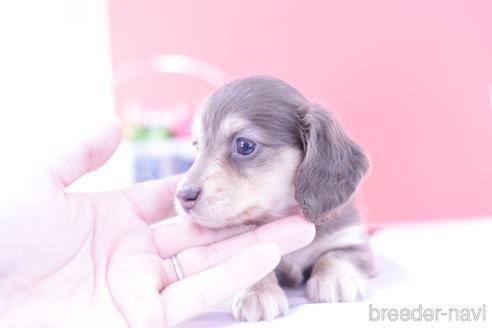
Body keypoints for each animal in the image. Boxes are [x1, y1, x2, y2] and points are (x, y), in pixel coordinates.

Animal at [176, 75, 372, 322]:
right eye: (197, 146)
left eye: (245, 145)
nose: (182, 196)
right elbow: (257, 263)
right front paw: (258, 291)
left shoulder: (352, 240)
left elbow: (336, 255)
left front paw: (336, 278)